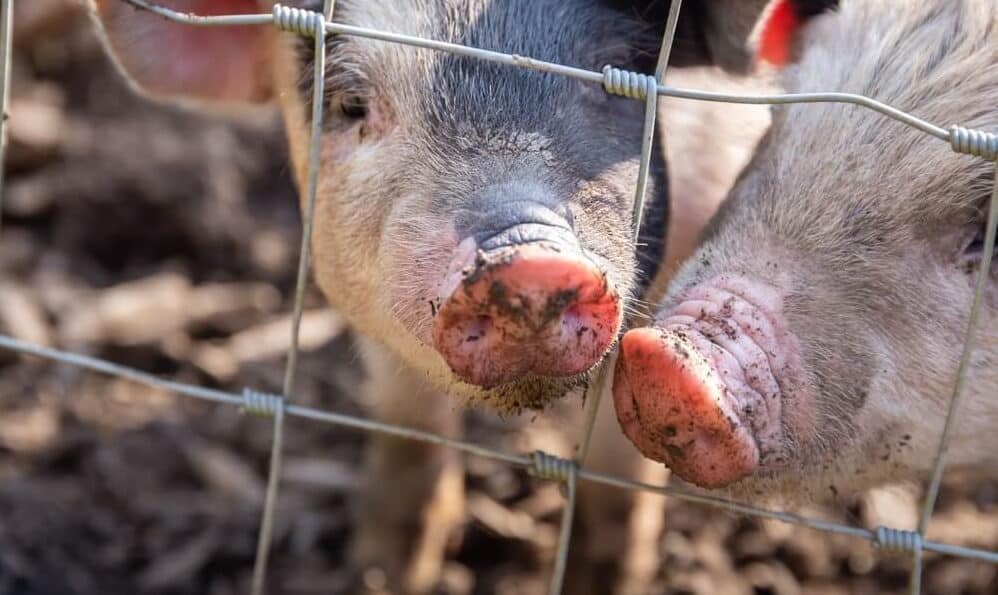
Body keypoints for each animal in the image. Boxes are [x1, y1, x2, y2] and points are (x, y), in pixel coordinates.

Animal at [88, 0, 772, 592]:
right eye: (352, 102)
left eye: (616, 86)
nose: (528, 257)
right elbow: (408, 428)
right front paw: (382, 574)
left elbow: (617, 475)